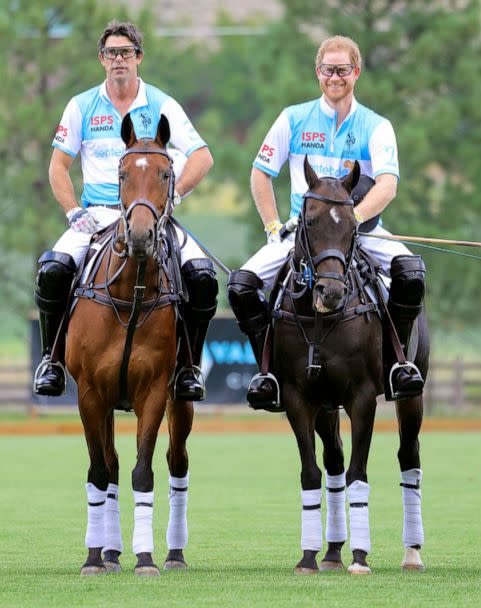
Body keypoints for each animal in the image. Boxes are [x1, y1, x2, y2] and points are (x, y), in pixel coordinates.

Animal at [66, 113, 193, 576]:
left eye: (165, 173)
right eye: (121, 174)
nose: (140, 236)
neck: (130, 293)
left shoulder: (153, 391)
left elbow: (144, 472)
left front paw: (146, 558)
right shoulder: (89, 393)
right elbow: (100, 472)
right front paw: (93, 557)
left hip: (180, 399)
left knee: (177, 463)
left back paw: (173, 554)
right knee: (111, 465)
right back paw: (108, 551)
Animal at [270, 157, 428, 576]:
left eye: (354, 225)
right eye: (308, 221)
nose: (331, 292)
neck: (320, 319)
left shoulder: (362, 397)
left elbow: (360, 473)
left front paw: (360, 557)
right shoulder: (298, 397)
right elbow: (313, 473)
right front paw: (309, 557)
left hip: (413, 392)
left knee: (409, 457)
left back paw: (412, 553)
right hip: (326, 404)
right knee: (334, 461)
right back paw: (331, 552)